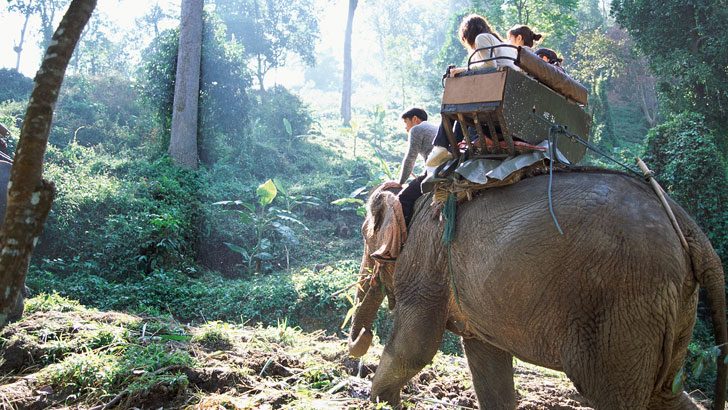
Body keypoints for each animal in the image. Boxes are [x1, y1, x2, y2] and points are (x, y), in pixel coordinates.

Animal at [348, 170, 727, 409]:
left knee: (617, 395)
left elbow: (415, 347)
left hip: (624, 305)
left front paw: (380, 401)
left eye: (365, 239)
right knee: (663, 394)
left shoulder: (427, 261)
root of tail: (688, 226)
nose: (359, 341)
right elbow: (487, 360)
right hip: (672, 306)